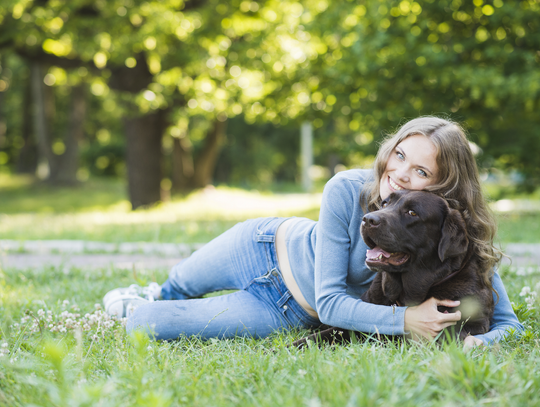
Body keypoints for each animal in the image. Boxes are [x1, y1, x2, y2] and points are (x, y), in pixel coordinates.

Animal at [294, 190, 496, 350]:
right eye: (385, 203)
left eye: (412, 212)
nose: (368, 219)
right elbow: (316, 338)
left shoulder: (477, 323)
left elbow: (446, 333)